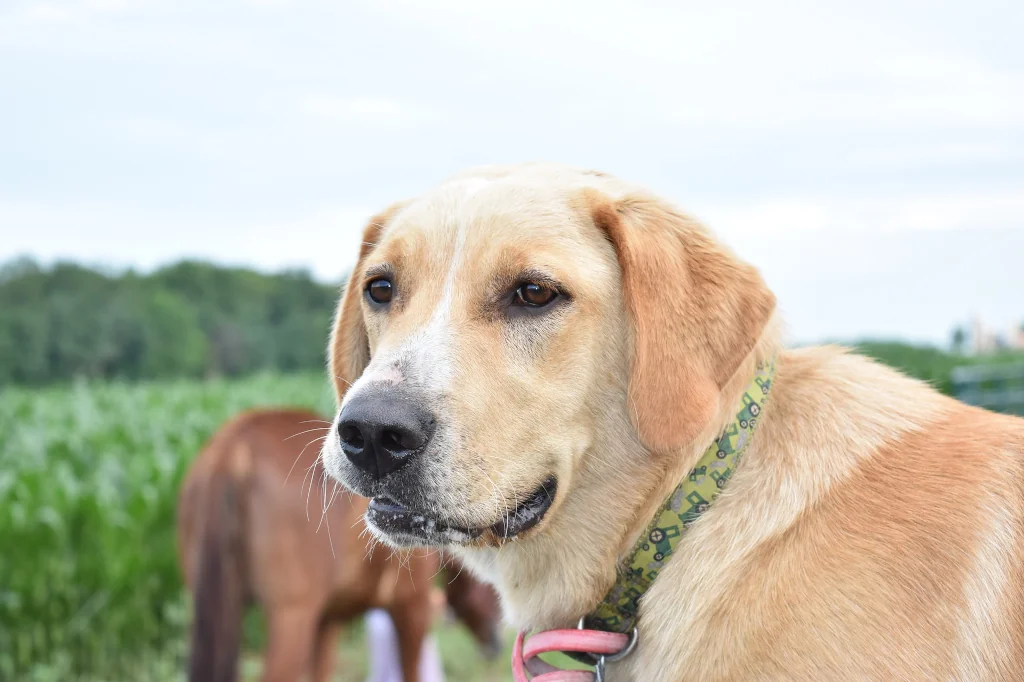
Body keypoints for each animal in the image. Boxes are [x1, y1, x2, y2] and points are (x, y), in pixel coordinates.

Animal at [177, 405, 503, 675]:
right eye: (491, 590)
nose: (495, 645)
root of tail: (234, 445)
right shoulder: (412, 608)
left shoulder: (326, 622)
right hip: (291, 617)